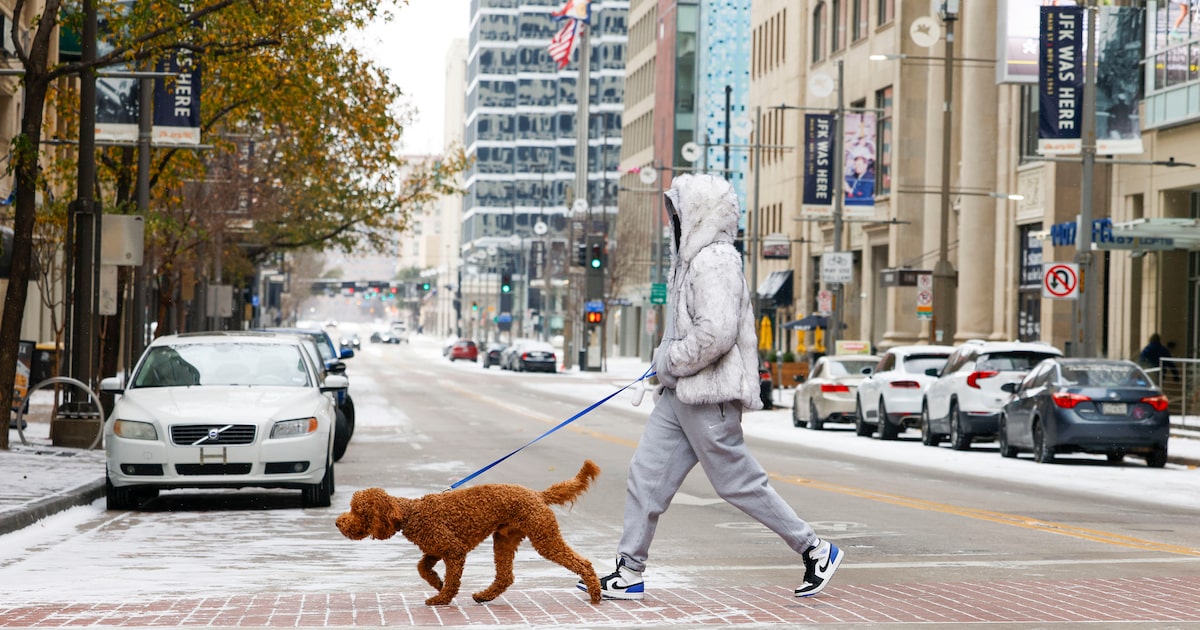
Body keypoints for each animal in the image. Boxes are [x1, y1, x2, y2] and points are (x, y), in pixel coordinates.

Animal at [336, 456, 600, 604]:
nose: (338, 522)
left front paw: (441, 598)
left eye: (357, 510)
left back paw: (595, 593)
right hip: (504, 539)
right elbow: (422, 567)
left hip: (544, 537)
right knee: (505, 576)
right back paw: (484, 596)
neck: (411, 514)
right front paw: (437, 582)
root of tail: (538, 495)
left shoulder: (453, 550)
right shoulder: (436, 549)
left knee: (582, 563)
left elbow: (452, 580)